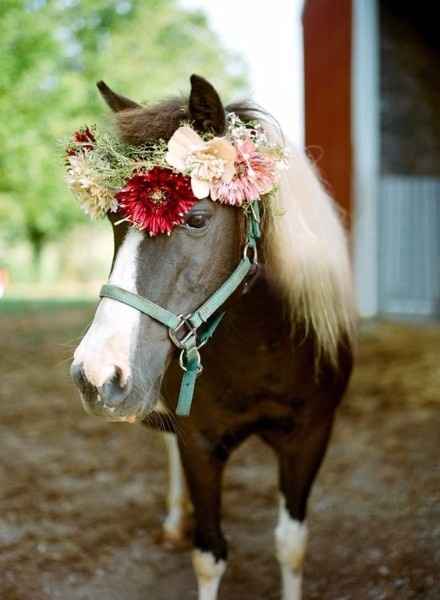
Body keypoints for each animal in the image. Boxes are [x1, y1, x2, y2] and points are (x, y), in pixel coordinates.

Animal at [70, 75, 356, 600]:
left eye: (196, 219)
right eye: (114, 221)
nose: (95, 375)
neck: (264, 350)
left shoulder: (310, 437)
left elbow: (292, 546)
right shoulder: (199, 444)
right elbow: (208, 555)